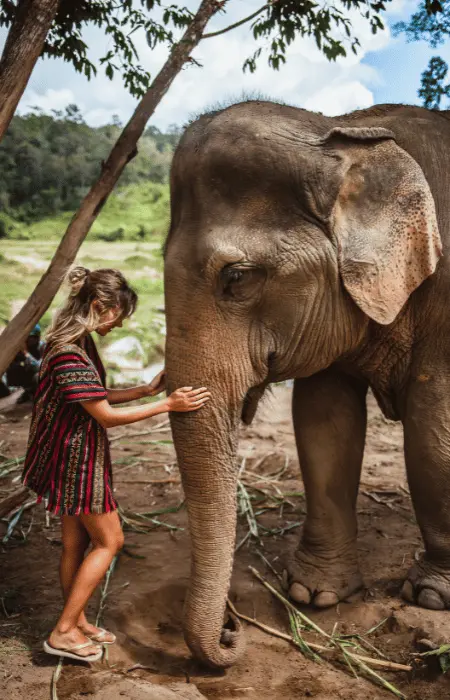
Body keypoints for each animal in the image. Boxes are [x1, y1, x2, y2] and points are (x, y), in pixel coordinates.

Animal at [163, 101, 450, 668]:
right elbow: (324, 422)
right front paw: (314, 595)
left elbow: (433, 425)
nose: (231, 630)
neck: (342, 129)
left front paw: (432, 596)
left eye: (235, 277)